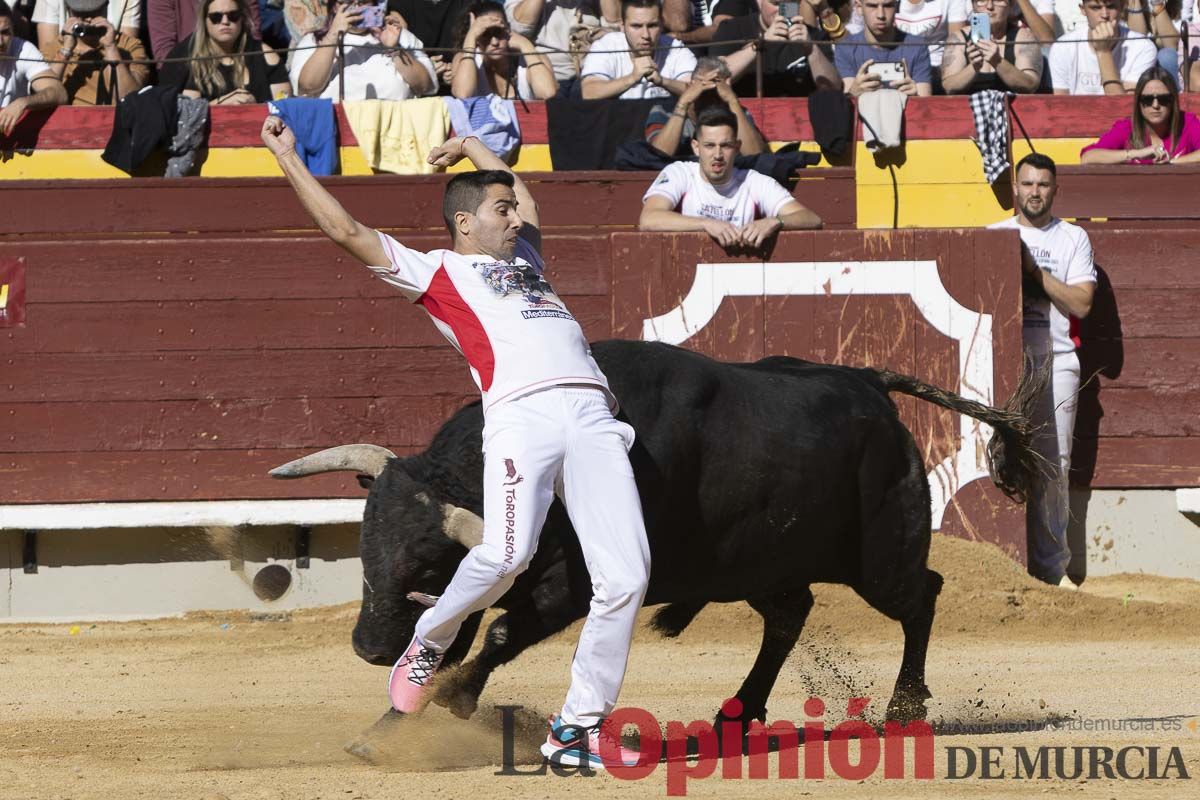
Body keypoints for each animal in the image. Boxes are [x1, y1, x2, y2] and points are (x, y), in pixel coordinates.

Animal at [274, 340, 1041, 729]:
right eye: (367, 548)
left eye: (433, 565)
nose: (371, 647)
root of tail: (868, 383)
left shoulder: (574, 585)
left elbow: (499, 633)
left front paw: (453, 698)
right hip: (756, 563)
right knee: (790, 614)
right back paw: (739, 711)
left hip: (879, 555)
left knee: (921, 595)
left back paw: (903, 707)